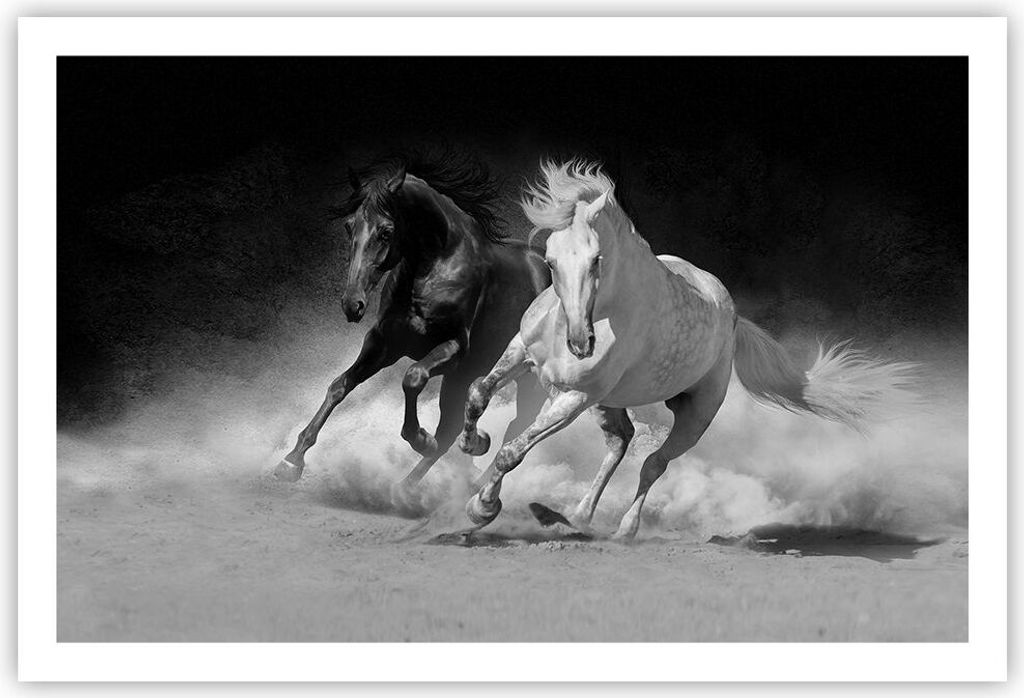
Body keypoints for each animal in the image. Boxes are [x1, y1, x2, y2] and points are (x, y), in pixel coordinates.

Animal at [275, 151, 551, 505]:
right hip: (468, 375)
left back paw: (457, 484)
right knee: (457, 427)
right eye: (350, 226)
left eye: (385, 231)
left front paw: (420, 438)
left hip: (523, 377)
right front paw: (291, 460)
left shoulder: (454, 349)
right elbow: (339, 386)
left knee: (514, 424)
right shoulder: (384, 343)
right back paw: (423, 483)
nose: (352, 304)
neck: (437, 265)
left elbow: (413, 377)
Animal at [456, 160, 917, 539]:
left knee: (652, 462)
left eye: (597, 259)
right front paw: (472, 443)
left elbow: (513, 451)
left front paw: (482, 507)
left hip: (695, 413)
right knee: (621, 441)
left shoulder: (574, 397)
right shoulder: (521, 352)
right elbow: (478, 391)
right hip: (610, 401)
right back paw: (575, 515)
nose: (580, 344)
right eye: (551, 262)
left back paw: (621, 528)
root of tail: (732, 319)